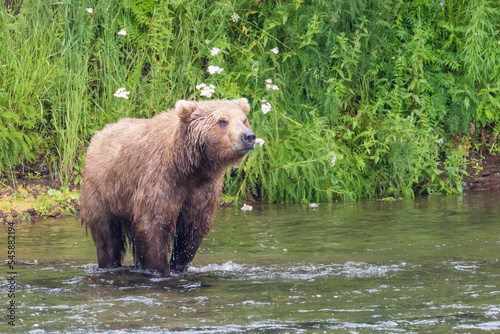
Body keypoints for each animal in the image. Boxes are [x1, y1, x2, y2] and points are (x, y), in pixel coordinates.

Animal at [80, 99, 256, 276]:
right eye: (222, 121)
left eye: (244, 120)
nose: (249, 136)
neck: (189, 168)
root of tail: (99, 133)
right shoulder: (160, 181)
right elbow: (154, 225)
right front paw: (160, 269)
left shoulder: (202, 191)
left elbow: (192, 230)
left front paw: (178, 267)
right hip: (103, 190)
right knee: (107, 236)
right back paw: (109, 263)